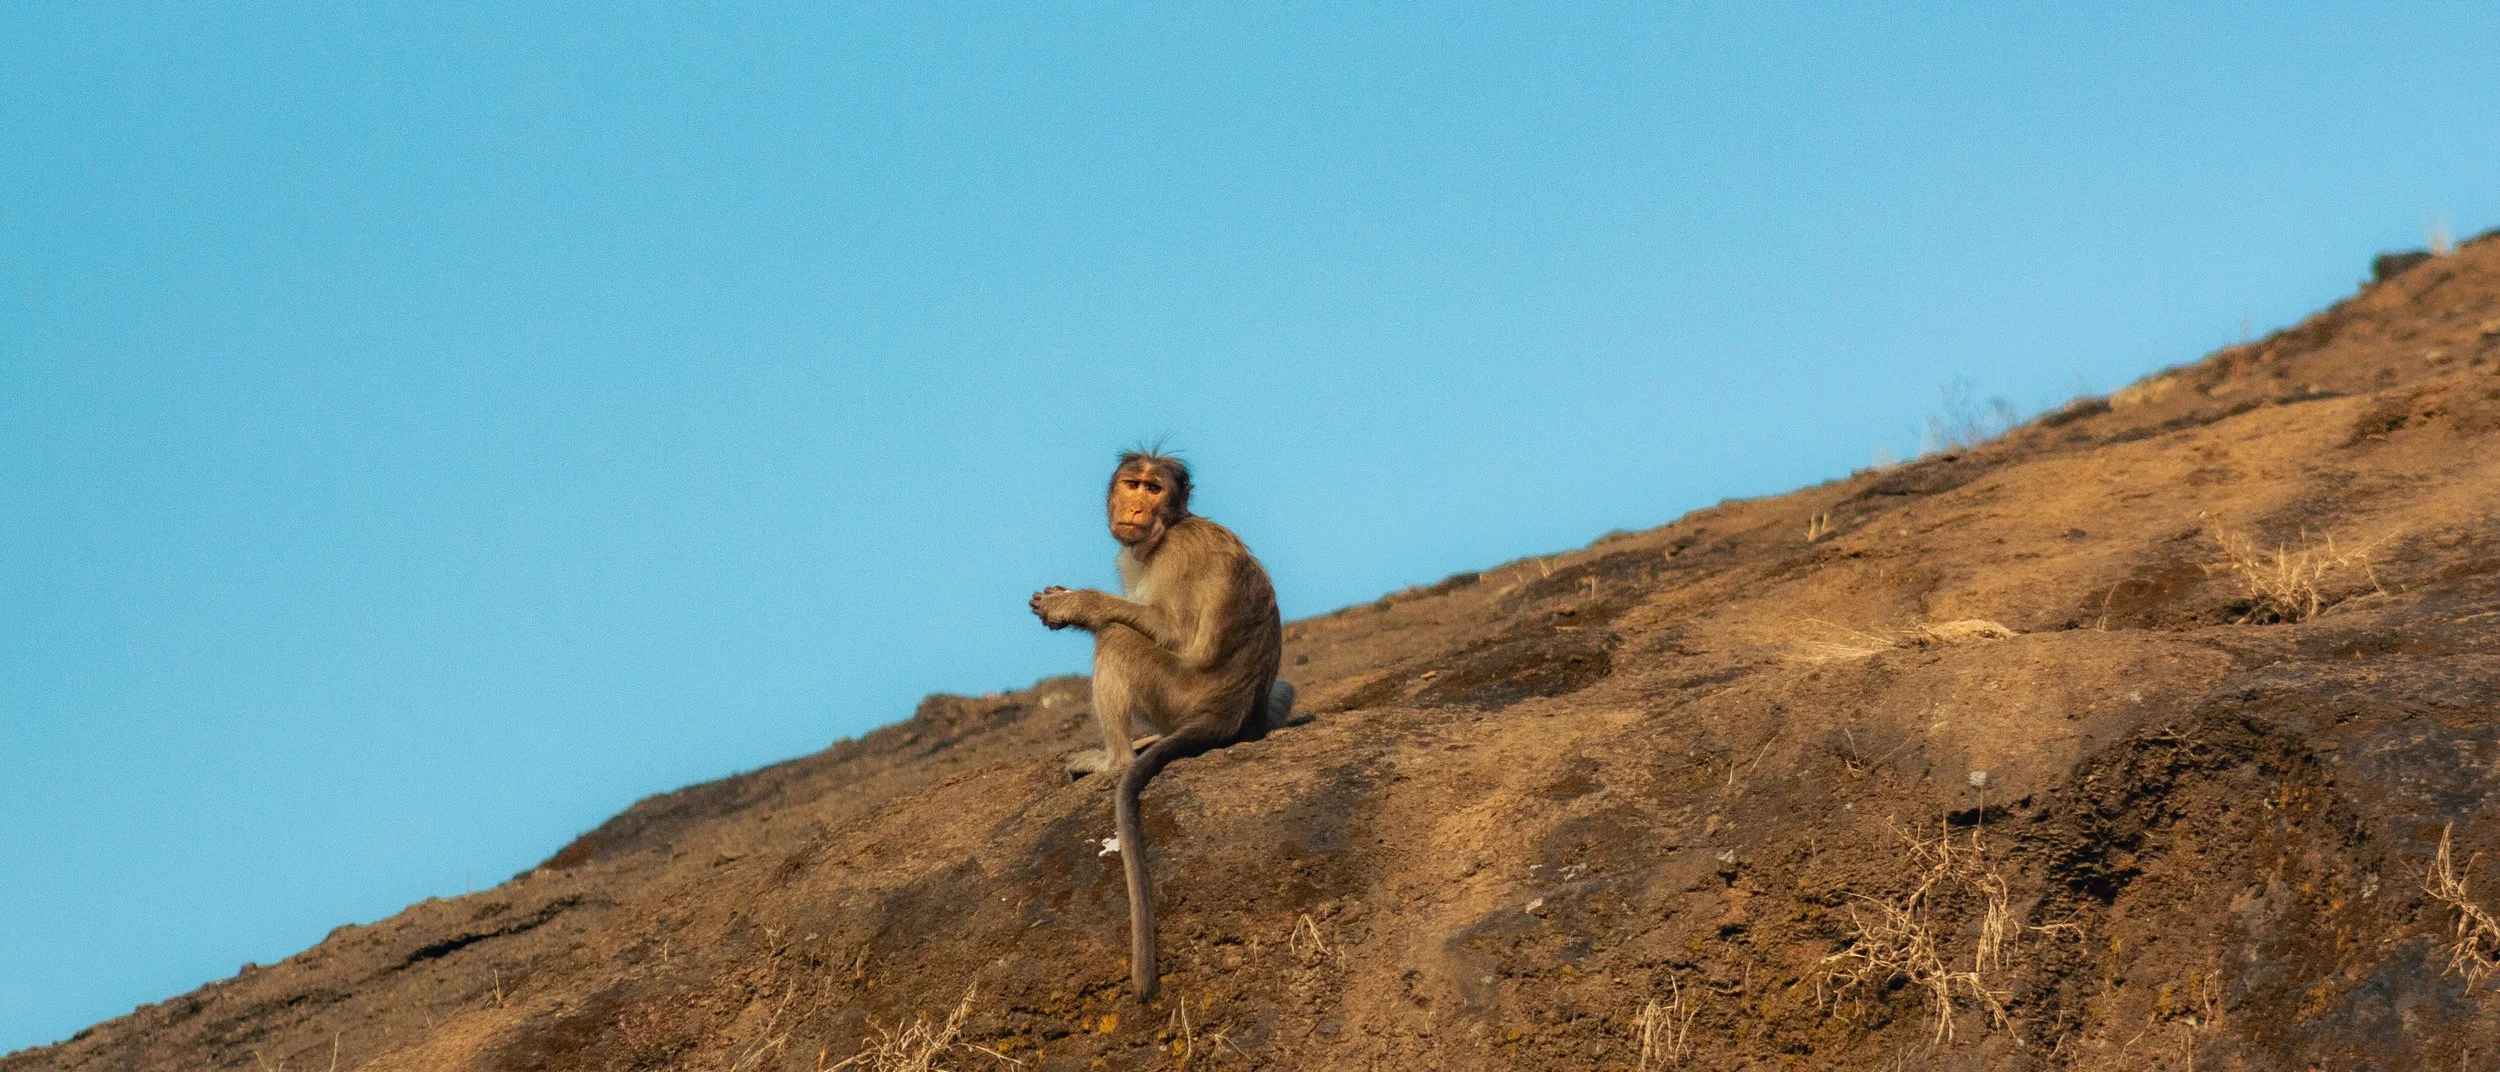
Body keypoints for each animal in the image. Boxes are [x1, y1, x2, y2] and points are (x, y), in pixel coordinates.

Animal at [1030, 450, 1295, 1002]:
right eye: (1133, 484)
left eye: (1155, 490)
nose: (1135, 508)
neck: (1168, 528)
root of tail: (1226, 713)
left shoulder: (1177, 553)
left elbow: (1172, 630)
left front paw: (1074, 603)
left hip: (1175, 690)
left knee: (1116, 637)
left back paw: (1114, 759)